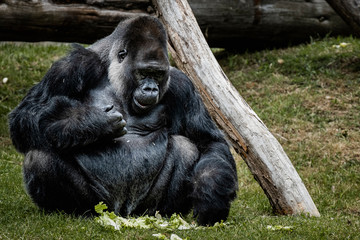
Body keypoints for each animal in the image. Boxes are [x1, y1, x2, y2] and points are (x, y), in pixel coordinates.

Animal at [8, 15, 238, 226]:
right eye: (144, 73)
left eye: (158, 74)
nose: (151, 89)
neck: (112, 69)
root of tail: (122, 211)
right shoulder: (70, 67)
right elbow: (26, 114)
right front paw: (88, 122)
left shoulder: (182, 85)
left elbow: (208, 141)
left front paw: (210, 195)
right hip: (99, 204)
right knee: (39, 156)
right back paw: (72, 211)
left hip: (141, 207)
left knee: (186, 147)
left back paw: (164, 213)